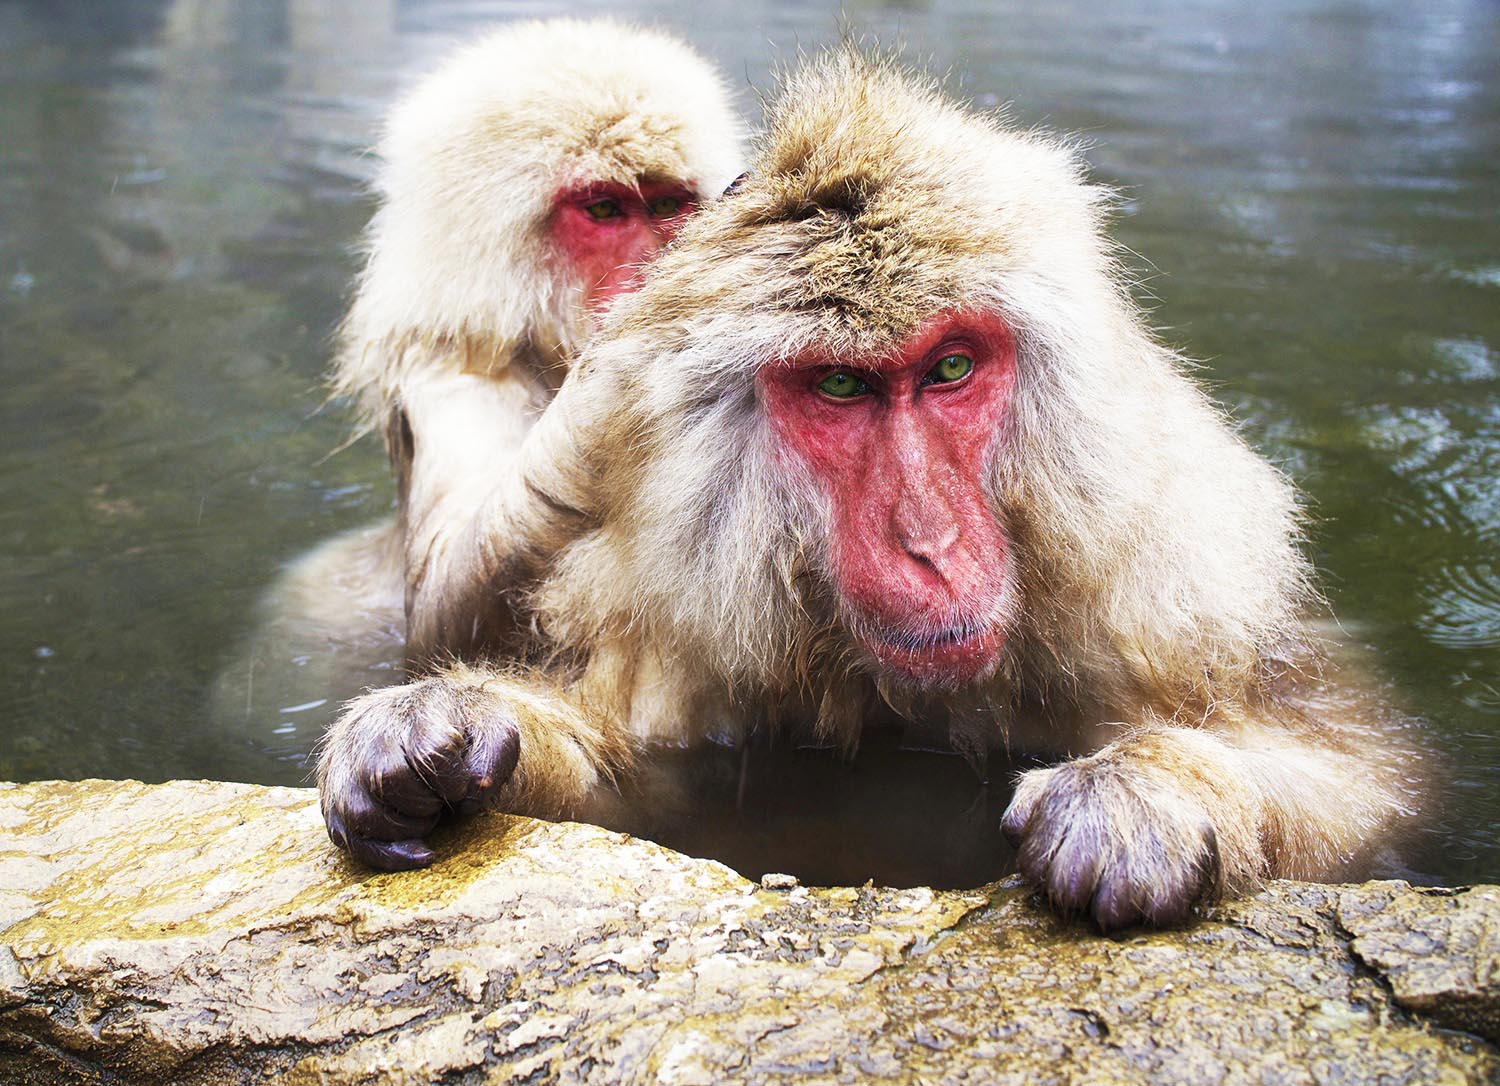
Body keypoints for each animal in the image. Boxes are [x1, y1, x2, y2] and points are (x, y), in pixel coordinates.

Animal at [211, 18, 743, 753]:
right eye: (605, 210)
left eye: (668, 205)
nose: (655, 264)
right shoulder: (453, 372)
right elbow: (445, 605)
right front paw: (622, 367)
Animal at [315, 49, 1418, 930]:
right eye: (841, 386)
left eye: (950, 369)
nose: (927, 540)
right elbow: (637, 781)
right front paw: (447, 731)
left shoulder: (1157, 596)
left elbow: (1374, 776)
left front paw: (1155, 792)